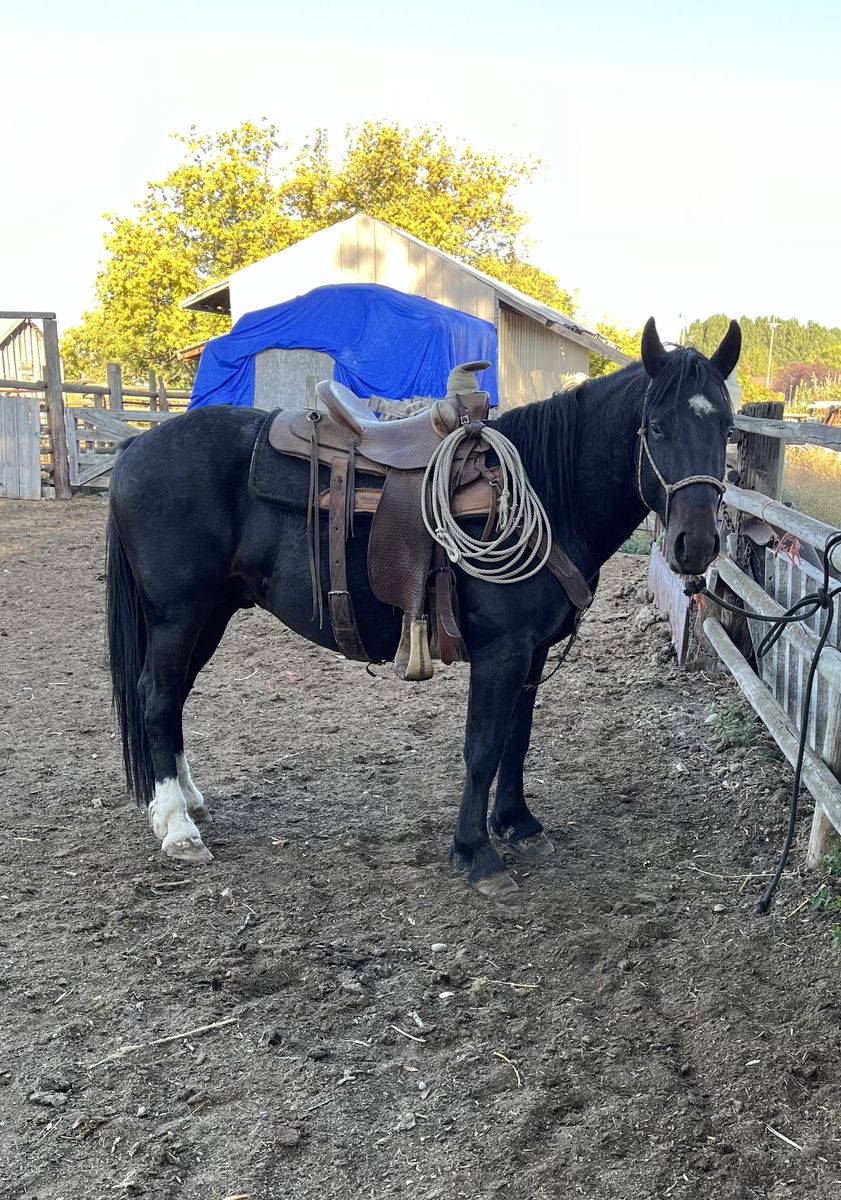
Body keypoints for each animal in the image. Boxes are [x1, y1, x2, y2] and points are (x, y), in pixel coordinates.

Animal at [105, 317, 741, 897]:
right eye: (655, 426)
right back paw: (177, 828)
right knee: (157, 698)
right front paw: (476, 853)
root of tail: (138, 444)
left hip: (209, 614)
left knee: (173, 699)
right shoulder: (502, 652)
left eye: (727, 426)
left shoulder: (532, 653)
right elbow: (482, 747)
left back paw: (187, 800)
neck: (546, 492)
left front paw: (517, 823)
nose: (696, 543)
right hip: (179, 616)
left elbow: (517, 738)